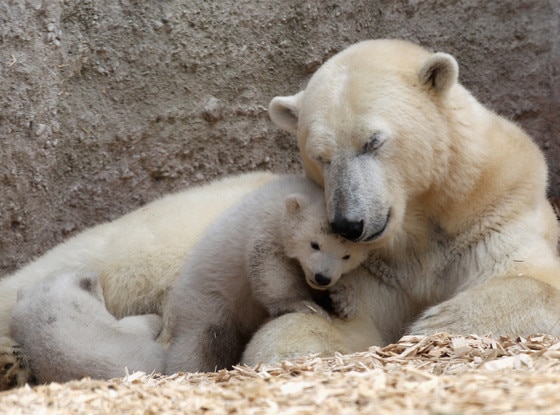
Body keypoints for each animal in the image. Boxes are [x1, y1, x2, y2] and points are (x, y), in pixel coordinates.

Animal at [0, 37, 556, 388]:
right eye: (320, 154)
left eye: (373, 141)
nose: (349, 222)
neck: (420, 228)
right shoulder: (372, 267)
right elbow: (344, 322)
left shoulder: (495, 212)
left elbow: (531, 279)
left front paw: (437, 321)